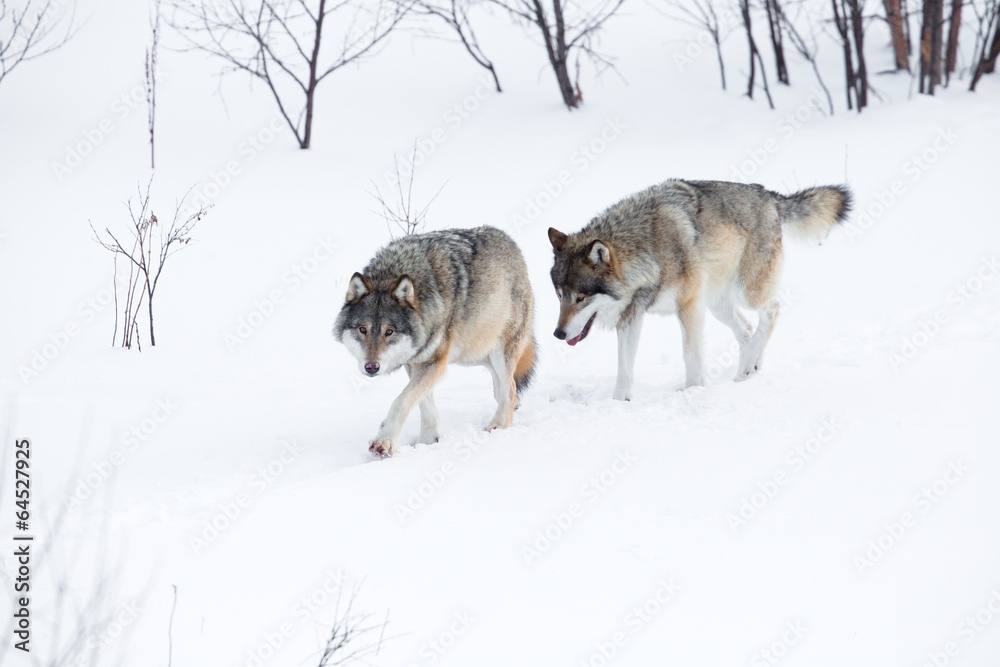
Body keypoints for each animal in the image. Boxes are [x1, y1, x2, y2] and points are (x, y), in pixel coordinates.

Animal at [334, 226, 536, 458]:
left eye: (389, 332)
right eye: (362, 330)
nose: (372, 367)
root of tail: (510, 241)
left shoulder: (435, 362)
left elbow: (401, 400)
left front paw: (385, 441)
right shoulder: (415, 362)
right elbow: (424, 404)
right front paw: (428, 441)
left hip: (498, 352)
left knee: (510, 387)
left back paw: (499, 425)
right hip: (475, 354)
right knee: (502, 388)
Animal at [547, 179, 851, 399]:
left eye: (581, 297)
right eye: (560, 296)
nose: (558, 334)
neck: (649, 250)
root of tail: (770, 196)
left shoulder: (689, 305)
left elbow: (690, 354)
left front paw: (693, 390)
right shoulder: (632, 316)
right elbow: (624, 367)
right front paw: (619, 402)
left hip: (745, 293)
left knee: (772, 310)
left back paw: (748, 367)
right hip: (717, 305)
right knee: (747, 329)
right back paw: (747, 371)